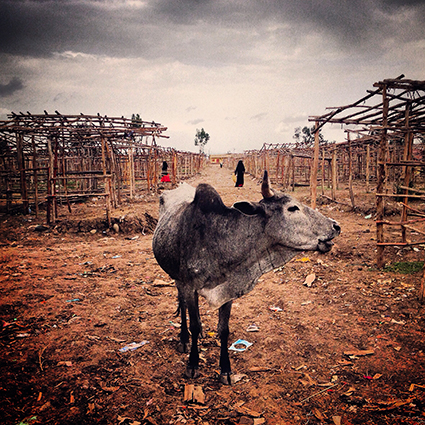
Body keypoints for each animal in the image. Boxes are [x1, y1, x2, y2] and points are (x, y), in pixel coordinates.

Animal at [151, 170, 340, 384]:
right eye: (292, 208)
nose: (336, 226)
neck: (219, 240)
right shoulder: (189, 286)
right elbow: (193, 324)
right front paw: (192, 364)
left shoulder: (228, 290)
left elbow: (223, 329)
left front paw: (225, 370)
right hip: (177, 278)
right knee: (182, 305)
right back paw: (184, 339)